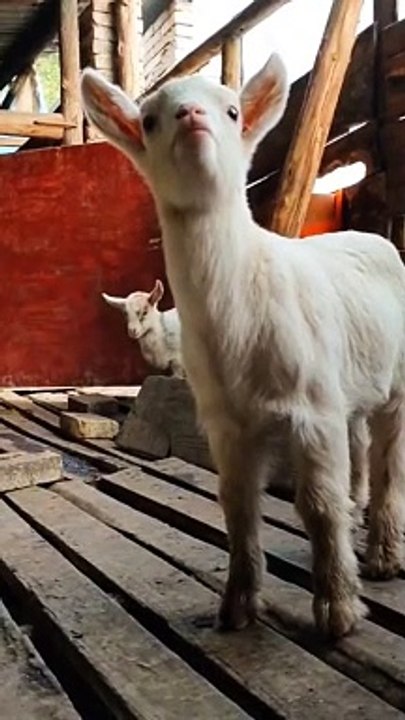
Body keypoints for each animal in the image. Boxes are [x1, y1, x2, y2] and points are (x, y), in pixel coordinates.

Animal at [81, 55, 405, 638]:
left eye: (232, 111)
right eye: (149, 121)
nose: (191, 116)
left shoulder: (312, 409)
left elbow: (317, 504)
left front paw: (338, 609)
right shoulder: (227, 421)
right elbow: (236, 504)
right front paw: (236, 606)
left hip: (395, 381)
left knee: (389, 459)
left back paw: (384, 555)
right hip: (347, 384)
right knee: (360, 445)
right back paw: (359, 515)